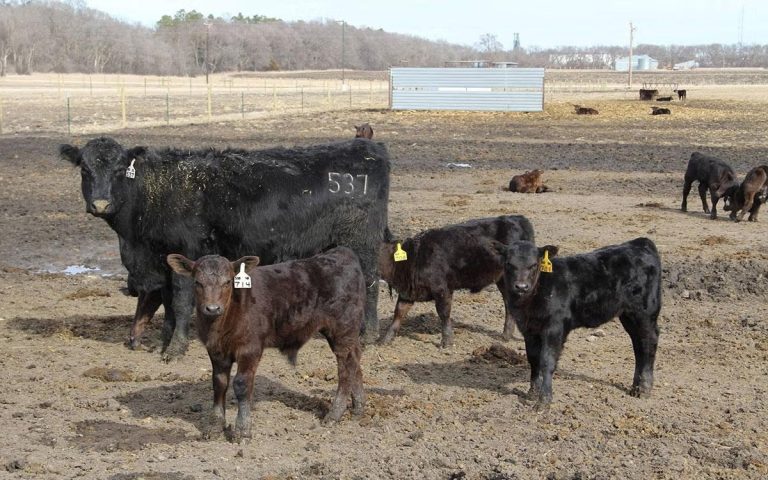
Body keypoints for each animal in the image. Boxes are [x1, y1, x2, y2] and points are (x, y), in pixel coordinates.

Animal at [59, 137, 390, 360]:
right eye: (84, 169)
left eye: (118, 170)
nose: (101, 204)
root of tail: (368, 148)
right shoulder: (163, 262)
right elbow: (168, 306)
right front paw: (165, 343)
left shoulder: (186, 253)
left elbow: (181, 303)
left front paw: (175, 350)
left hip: (362, 244)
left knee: (371, 284)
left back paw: (369, 334)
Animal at [167, 246, 365, 442]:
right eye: (197, 282)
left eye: (228, 281)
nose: (213, 308)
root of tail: (341, 252)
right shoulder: (216, 351)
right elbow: (219, 384)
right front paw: (215, 427)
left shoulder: (250, 349)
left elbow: (241, 384)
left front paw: (242, 431)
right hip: (345, 333)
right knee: (355, 359)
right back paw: (359, 407)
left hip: (342, 328)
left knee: (345, 368)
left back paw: (335, 414)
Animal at [377, 215, 535, 347]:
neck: (415, 257)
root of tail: (517, 217)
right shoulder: (408, 292)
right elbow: (398, 313)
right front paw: (385, 339)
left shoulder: (442, 289)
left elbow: (444, 313)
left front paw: (446, 341)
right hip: (503, 280)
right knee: (508, 303)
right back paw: (506, 335)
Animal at [495, 238, 661, 409]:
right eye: (509, 263)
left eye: (534, 264)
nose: (521, 287)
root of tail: (639, 242)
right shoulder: (528, 329)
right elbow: (533, 359)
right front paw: (532, 392)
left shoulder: (555, 327)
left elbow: (547, 361)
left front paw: (544, 401)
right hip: (628, 315)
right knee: (639, 345)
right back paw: (635, 387)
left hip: (645, 311)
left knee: (649, 341)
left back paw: (644, 388)